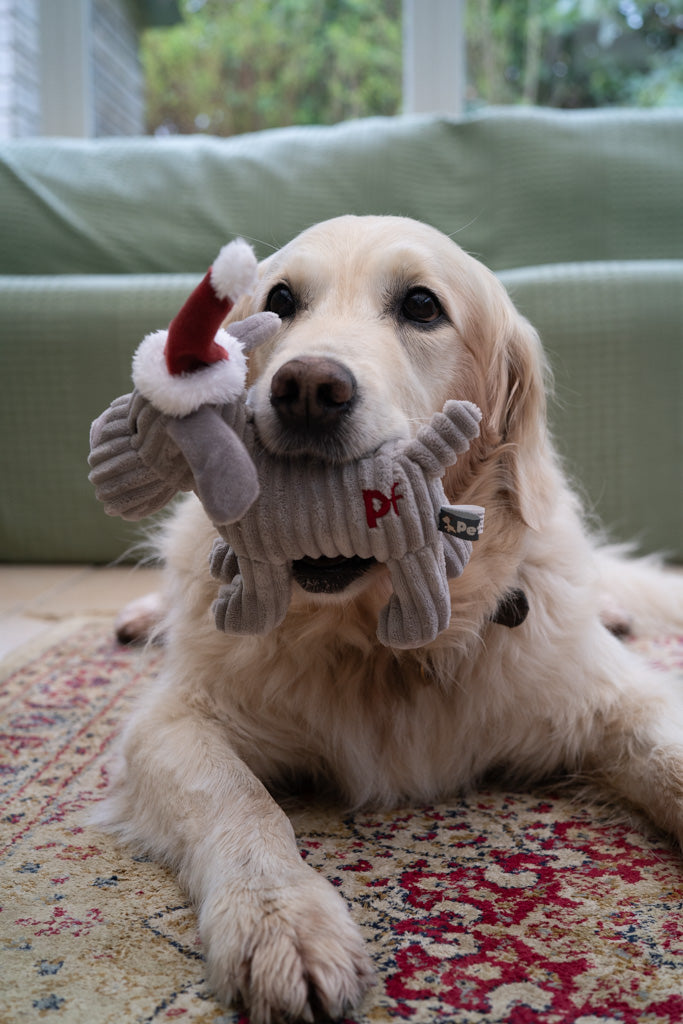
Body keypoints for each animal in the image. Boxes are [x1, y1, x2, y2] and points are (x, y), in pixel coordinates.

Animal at [98, 218, 683, 1024]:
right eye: (279, 301)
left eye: (421, 305)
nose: (307, 389)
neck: (381, 644)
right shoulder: (173, 720)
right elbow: (239, 800)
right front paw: (281, 920)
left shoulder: (615, 694)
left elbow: (668, 760)